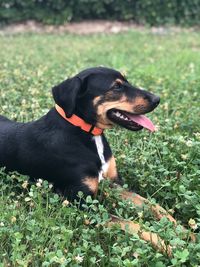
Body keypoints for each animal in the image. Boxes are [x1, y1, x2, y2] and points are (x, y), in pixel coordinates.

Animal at [0, 67, 159, 201]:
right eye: (116, 87)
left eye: (127, 81)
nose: (157, 99)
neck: (88, 131)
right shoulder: (81, 198)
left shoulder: (115, 183)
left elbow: (149, 204)